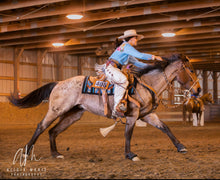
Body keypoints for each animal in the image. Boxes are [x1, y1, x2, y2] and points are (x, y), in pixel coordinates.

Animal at [8, 53, 201, 162]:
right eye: (191, 70)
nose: (198, 90)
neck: (146, 84)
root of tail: (59, 82)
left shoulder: (147, 115)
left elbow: (165, 128)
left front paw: (181, 146)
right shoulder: (132, 115)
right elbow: (128, 134)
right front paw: (130, 155)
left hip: (73, 114)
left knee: (53, 131)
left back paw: (56, 154)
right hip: (57, 110)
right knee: (41, 126)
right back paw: (26, 152)